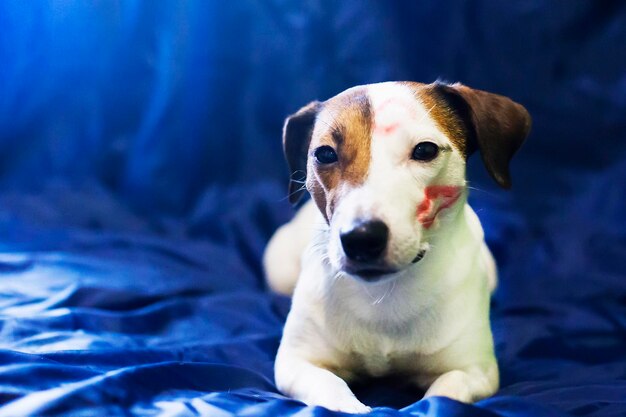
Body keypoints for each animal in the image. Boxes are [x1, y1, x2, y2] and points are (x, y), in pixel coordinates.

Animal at [260, 79, 528, 412]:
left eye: (425, 149)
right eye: (324, 154)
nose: (361, 237)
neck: (385, 297)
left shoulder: (475, 371)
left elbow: (443, 393)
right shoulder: (297, 363)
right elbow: (331, 389)